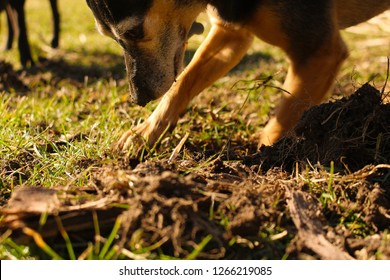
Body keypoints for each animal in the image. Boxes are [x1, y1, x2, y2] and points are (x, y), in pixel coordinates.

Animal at [86, 0, 390, 151]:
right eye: (108, 36)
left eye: (134, 32)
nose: (138, 98)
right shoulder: (232, 31)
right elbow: (181, 83)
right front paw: (145, 133)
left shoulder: (319, 51)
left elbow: (283, 118)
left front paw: (269, 159)